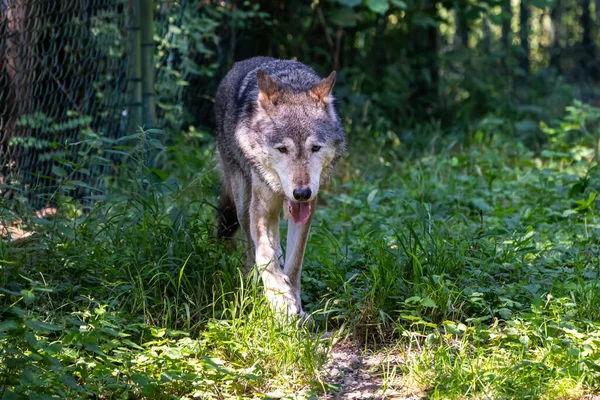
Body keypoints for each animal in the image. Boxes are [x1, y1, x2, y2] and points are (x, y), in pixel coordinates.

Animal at [216, 57, 346, 318]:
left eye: (315, 148)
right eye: (282, 149)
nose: (301, 193)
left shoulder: (307, 210)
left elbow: (294, 264)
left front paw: (296, 306)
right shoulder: (261, 210)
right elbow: (264, 256)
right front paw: (281, 301)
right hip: (243, 203)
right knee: (249, 248)